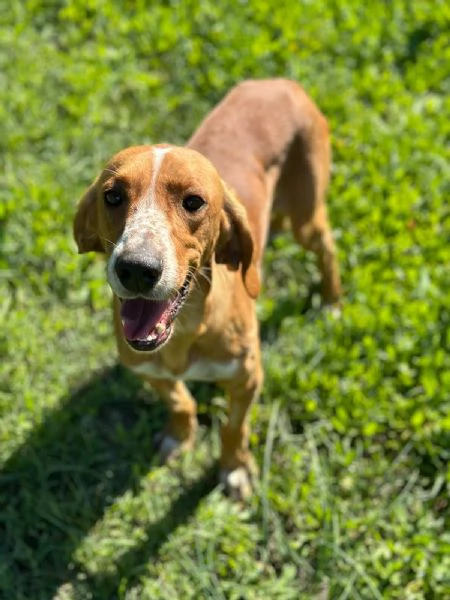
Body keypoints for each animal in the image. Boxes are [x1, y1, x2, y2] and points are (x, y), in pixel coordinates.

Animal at [74, 79, 342, 502]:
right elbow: (179, 400)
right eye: (112, 196)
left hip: (307, 217)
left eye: (194, 202)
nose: (136, 269)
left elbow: (233, 428)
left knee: (328, 249)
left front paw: (235, 469)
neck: (187, 330)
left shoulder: (247, 376)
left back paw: (331, 302)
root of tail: (279, 82)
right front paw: (180, 436)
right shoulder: (143, 366)